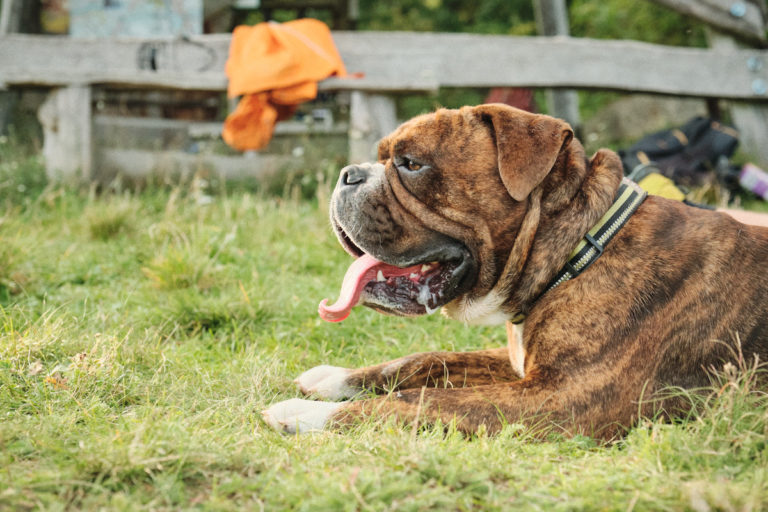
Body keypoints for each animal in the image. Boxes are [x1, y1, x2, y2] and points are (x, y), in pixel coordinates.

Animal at [262, 105, 768, 440]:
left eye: (412, 165)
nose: (349, 173)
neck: (575, 252)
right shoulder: (516, 365)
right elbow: (423, 360)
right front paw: (333, 379)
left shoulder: (559, 400)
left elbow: (420, 400)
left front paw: (305, 414)